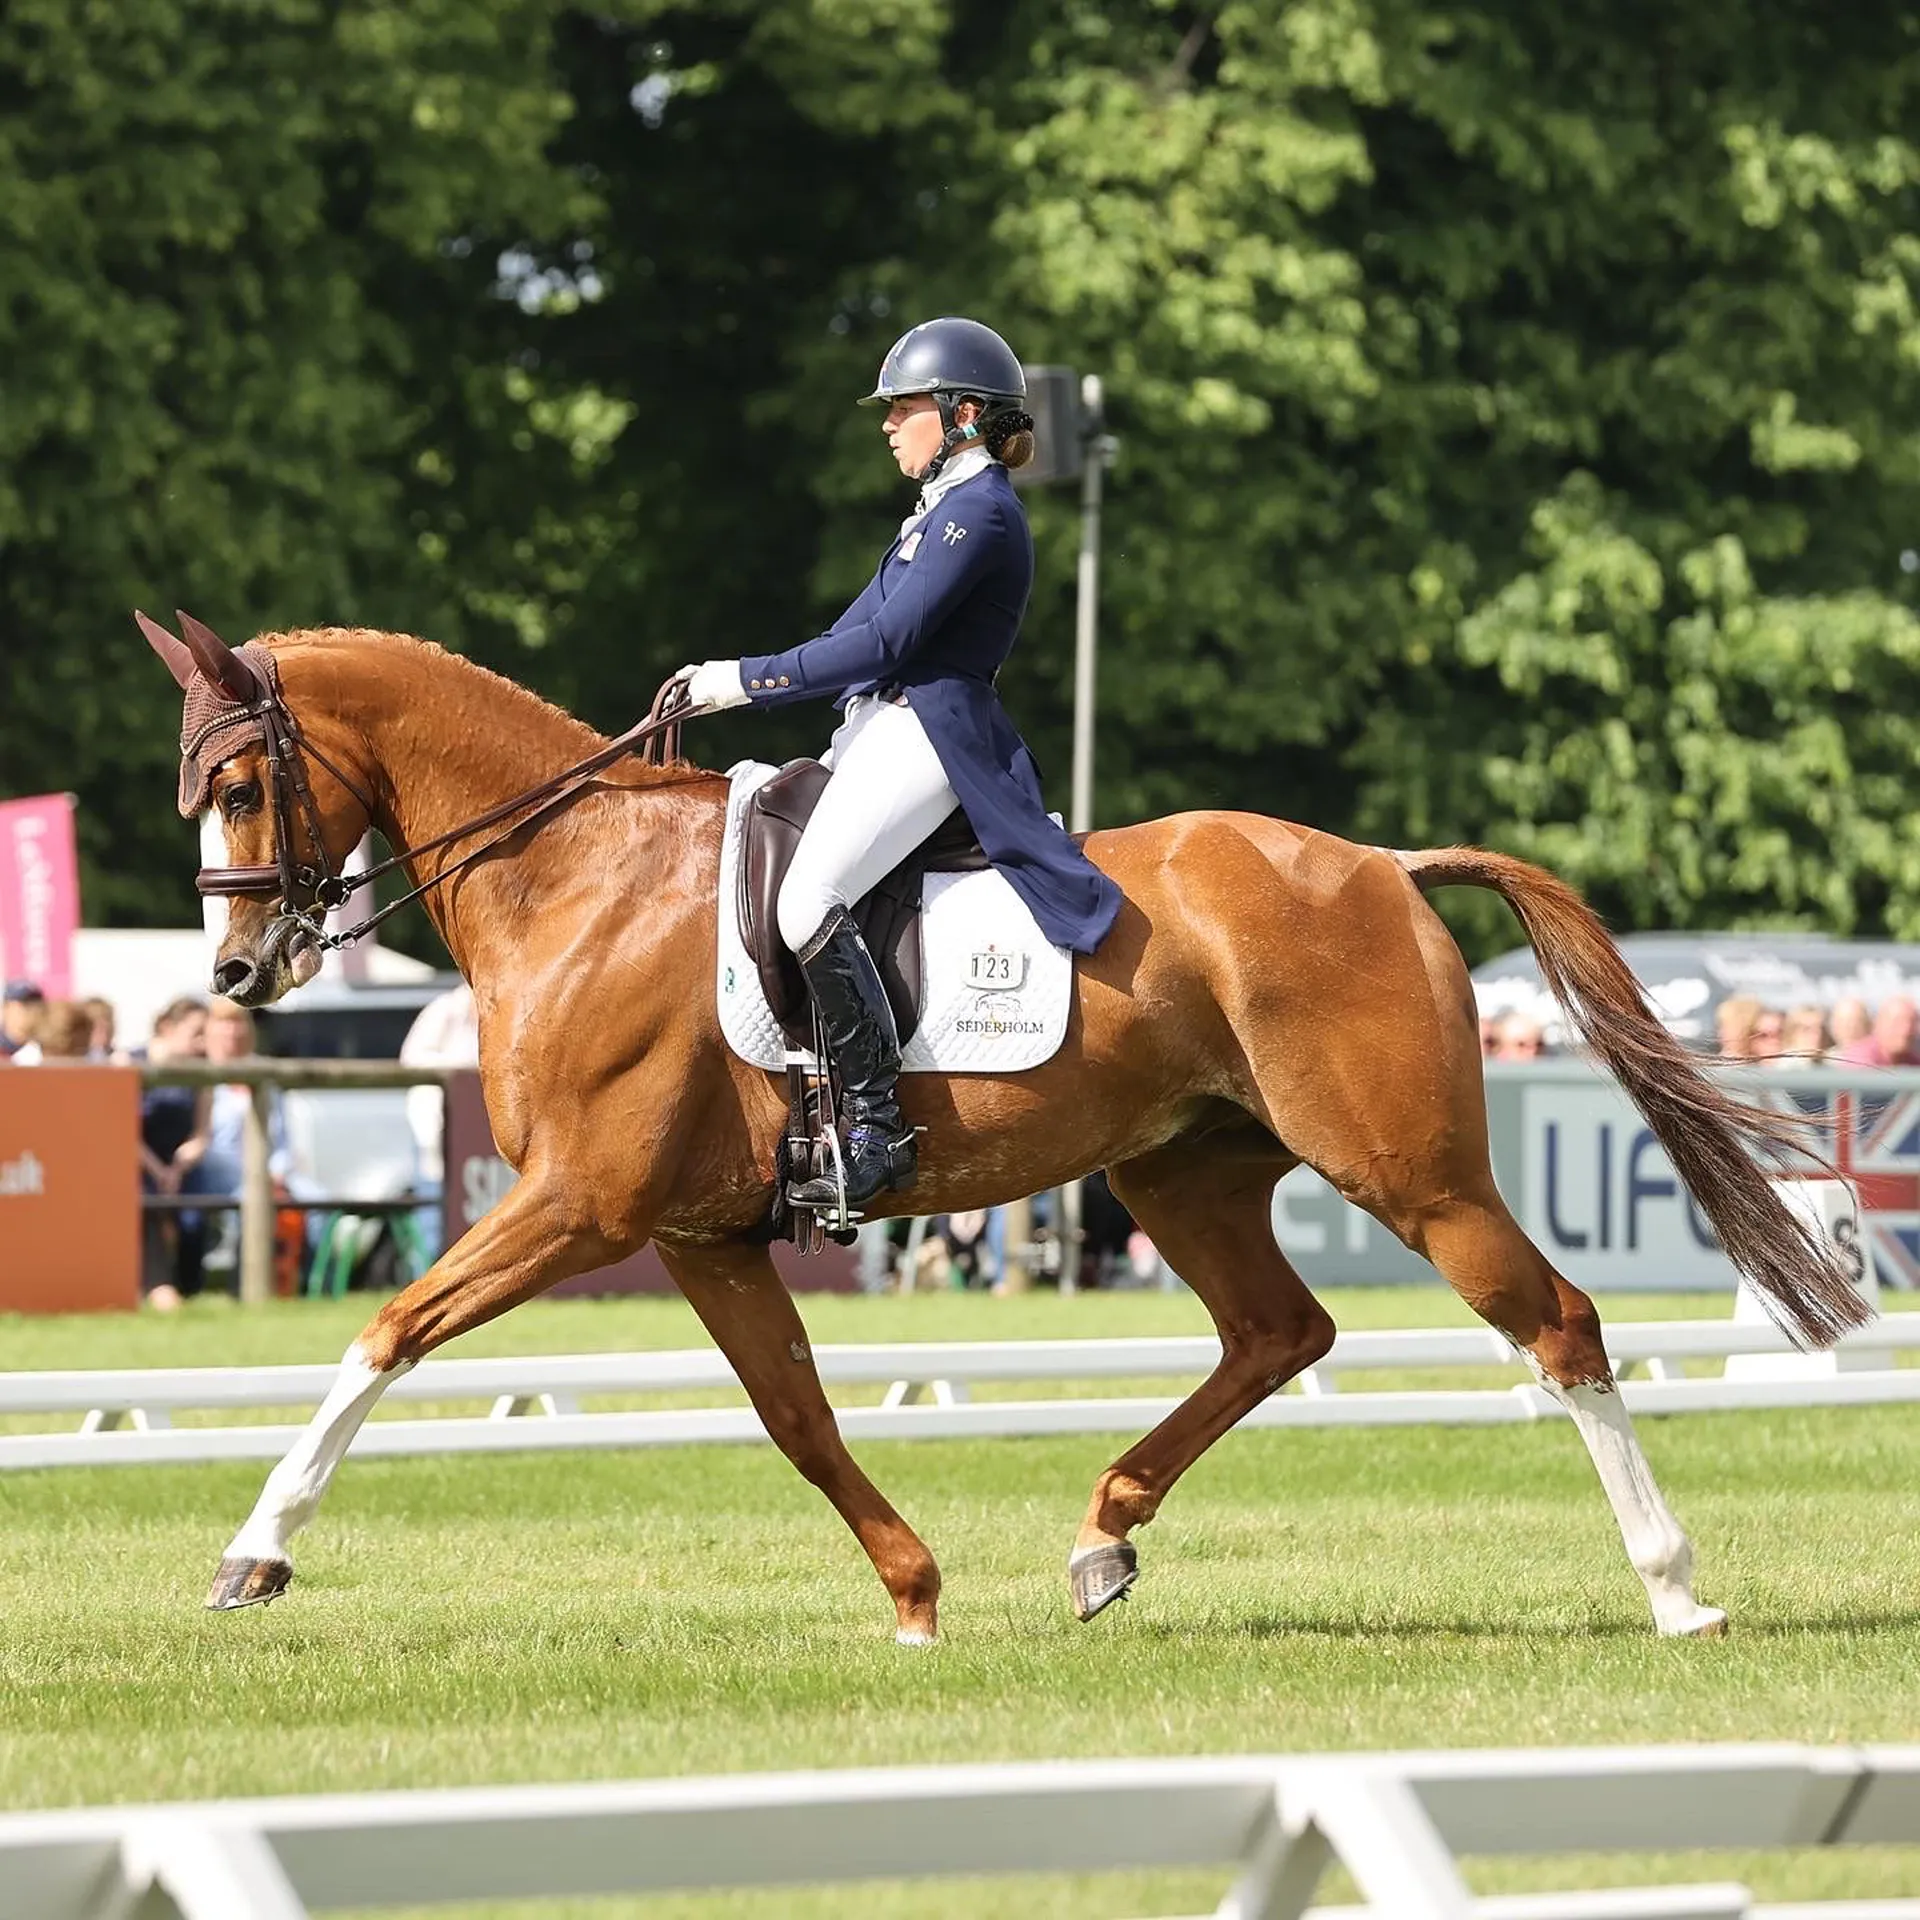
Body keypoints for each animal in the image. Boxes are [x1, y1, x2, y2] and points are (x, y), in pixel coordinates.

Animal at [139, 611, 1867, 1643]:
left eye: (244, 786)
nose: (234, 974)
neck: (575, 881)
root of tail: (1380, 863)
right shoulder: (700, 1234)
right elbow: (797, 1417)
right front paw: (913, 1595)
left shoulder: (581, 1201)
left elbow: (387, 1330)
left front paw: (255, 1552)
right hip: (1179, 1170)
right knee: (1277, 1333)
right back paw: (1104, 1538)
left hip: (1412, 1171)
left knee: (1555, 1323)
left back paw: (1677, 1592)